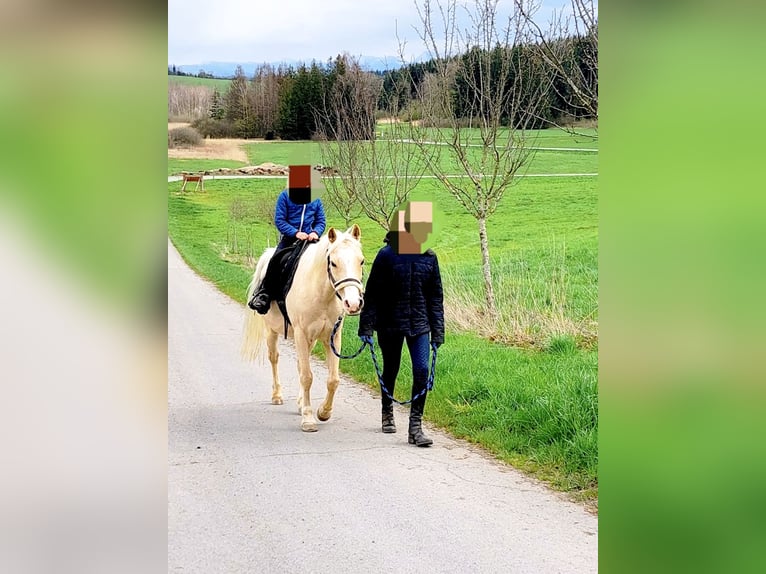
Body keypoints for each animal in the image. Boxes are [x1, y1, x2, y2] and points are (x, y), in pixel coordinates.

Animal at [241, 225, 365, 432]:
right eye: (333, 263)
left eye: (361, 261)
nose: (353, 303)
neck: (322, 294)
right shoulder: (300, 334)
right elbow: (307, 377)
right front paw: (308, 419)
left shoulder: (332, 337)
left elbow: (333, 380)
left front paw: (323, 412)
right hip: (272, 332)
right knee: (274, 359)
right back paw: (277, 396)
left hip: (310, 340)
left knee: (300, 365)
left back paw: (300, 403)